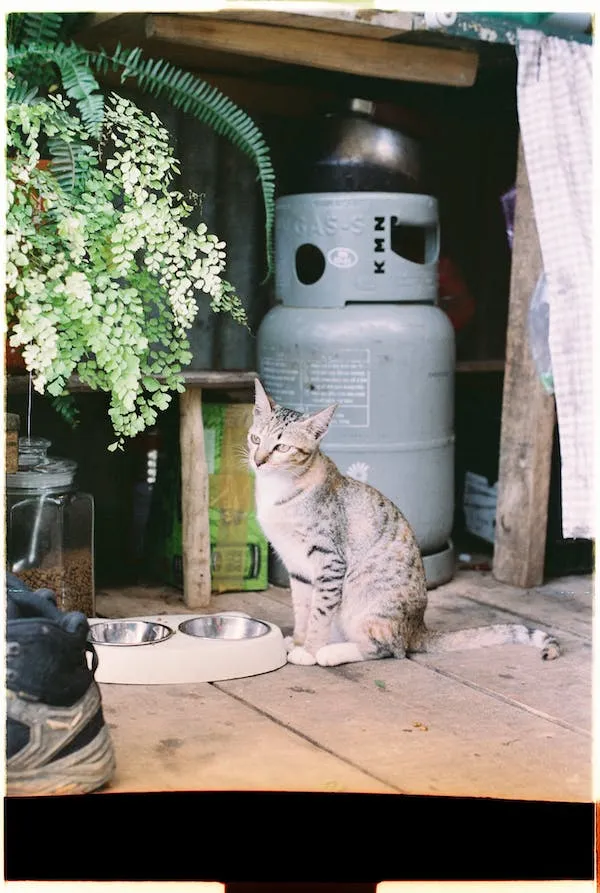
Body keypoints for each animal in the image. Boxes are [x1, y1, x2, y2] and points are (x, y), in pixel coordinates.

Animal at [247, 380, 556, 664]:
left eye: (282, 447)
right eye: (255, 439)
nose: (258, 461)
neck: (278, 490)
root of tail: (418, 628)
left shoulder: (329, 560)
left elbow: (319, 613)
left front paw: (309, 650)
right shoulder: (298, 567)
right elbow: (303, 608)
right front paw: (298, 641)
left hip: (369, 608)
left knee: (389, 649)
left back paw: (331, 652)